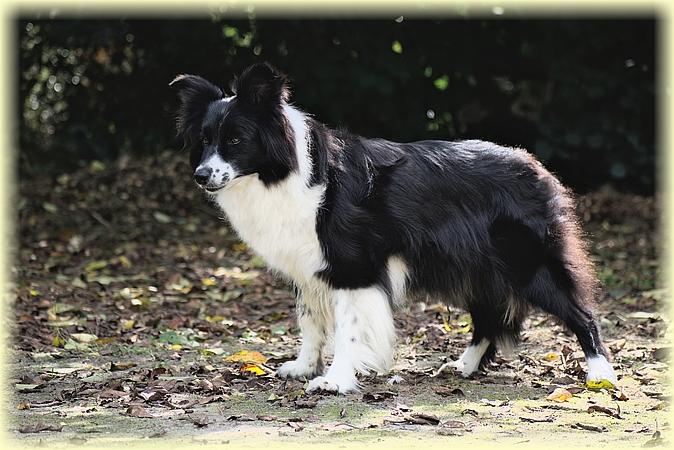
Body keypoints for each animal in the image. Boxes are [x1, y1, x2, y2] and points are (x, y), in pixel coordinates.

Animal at [171, 61, 616, 392]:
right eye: (204, 140)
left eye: (235, 140)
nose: (201, 176)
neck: (283, 170)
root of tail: (537, 167)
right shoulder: (309, 266)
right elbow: (310, 321)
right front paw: (302, 367)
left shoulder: (353, 267)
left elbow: (347, 329)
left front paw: (334, 381)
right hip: (478, 266)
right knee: (489, 317)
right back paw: (463, 365)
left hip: (526, 261)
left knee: (580, 311)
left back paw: (599, 373)